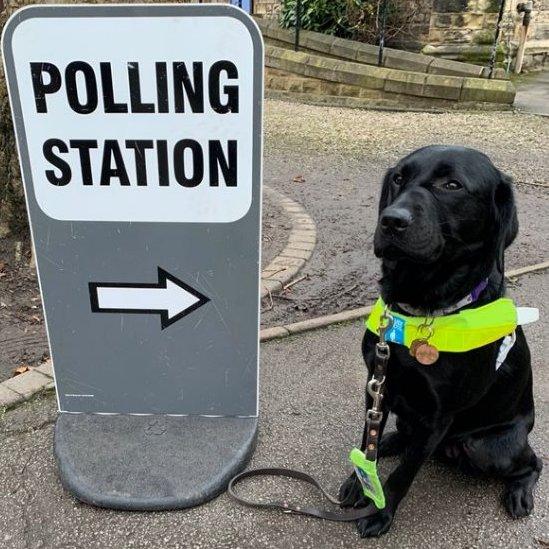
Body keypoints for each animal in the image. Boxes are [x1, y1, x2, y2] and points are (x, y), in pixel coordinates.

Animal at [338, 144, 540, 536]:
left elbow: (403, 475)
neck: (421, 311)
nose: (391, 220)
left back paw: (520, 491)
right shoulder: (378, 385)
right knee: (401, 435)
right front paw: (361, 480)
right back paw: (391, 441)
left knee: (534, 462)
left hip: (487, 447)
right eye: (398, 178)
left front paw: (380, 512)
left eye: (452, 185)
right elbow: (367, 439)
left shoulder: (437, 416)